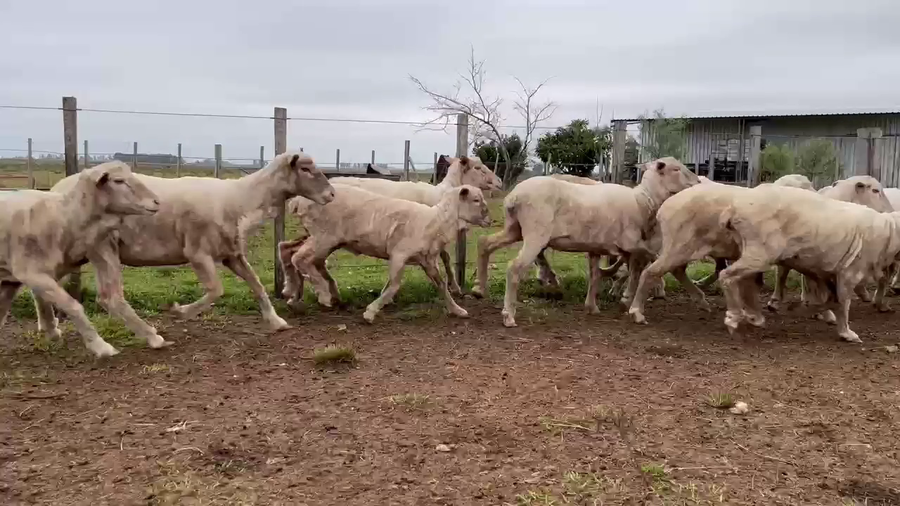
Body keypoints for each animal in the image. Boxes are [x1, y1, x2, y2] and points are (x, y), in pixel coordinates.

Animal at [1, 162, 160, 357]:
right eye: (118, 180)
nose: (157, 201)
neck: (65, 219)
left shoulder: (13, 280)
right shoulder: (32, 273)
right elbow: (73, 306)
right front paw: (101, 346)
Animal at [48, 152, 334, 334]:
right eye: (305, 169)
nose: (331, 194)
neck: (239, 199)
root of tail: (55, 190)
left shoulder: (231, 253)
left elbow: (256, 284)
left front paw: (275, 321)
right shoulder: (198, 253)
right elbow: (216, 290)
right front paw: (180, 311)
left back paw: (51, 327)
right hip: (102, 247)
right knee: (109, 297)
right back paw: (151, 336)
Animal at [279, 185, 491, 322]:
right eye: (476, 200)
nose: (488, 219)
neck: (435, 220)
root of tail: (299, 201)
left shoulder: (427, 261)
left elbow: (441, 286)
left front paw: (458, 310)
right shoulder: (398, 255)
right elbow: (394, 286)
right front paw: (370, 312)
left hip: (320, 238)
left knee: (288, 250)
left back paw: (293, 295)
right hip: (324, 237)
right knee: (299, 258)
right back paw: (321, 294)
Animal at [474, 157, 699, 327]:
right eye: (676, 169)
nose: (697, 183)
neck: (643, 200)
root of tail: (513, 197)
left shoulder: (596, 247)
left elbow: (595, 275)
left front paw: (593, 306)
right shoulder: (629, 242)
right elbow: (641, 264)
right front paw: (629, 299)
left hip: (514, 229)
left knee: (485, 243)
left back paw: (479, 288)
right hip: (536, 233)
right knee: (515, 267)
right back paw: (508, 314)